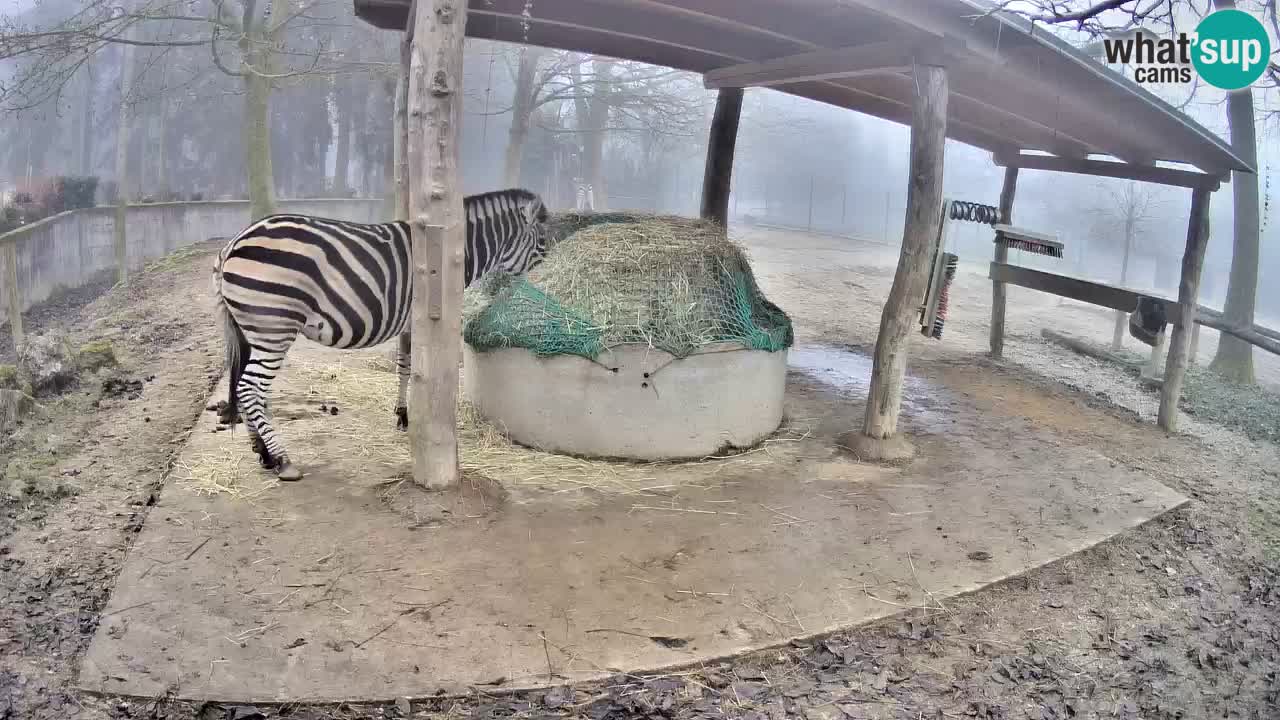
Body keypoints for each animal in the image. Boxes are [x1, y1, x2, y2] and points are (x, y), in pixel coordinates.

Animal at [212, 188, 552, 482]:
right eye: (544, 242)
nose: (544, 283)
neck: (449, 252)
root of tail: (234, 242)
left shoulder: (409, 322)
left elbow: (403, 366)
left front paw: (402, 415)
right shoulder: (422, 319)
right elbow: (415, 368)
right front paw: (409, 416)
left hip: (251, 330)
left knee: (249, 388)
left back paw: (263, 454)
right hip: (274, 328)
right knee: (249, 387)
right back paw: (282, 460)